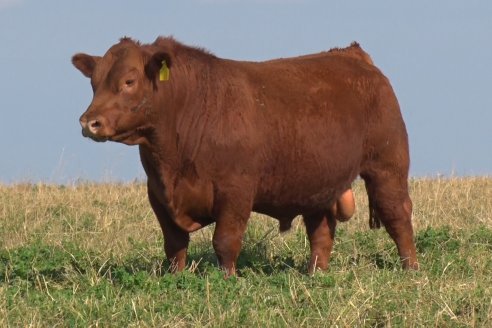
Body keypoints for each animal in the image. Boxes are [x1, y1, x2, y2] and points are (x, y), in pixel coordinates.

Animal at [73, 37, 418, 276]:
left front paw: (227, 280)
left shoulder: (235, 191)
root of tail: (351, 55)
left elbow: (225, 241)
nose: (89, 122)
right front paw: (174, 279)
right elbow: (174, 245)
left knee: (397, 215)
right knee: (321, 231)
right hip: (317, 183)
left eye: (129, 81)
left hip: (387, 167)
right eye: (94, 83)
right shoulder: (157, 193)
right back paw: (315, 274)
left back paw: (410, 269)